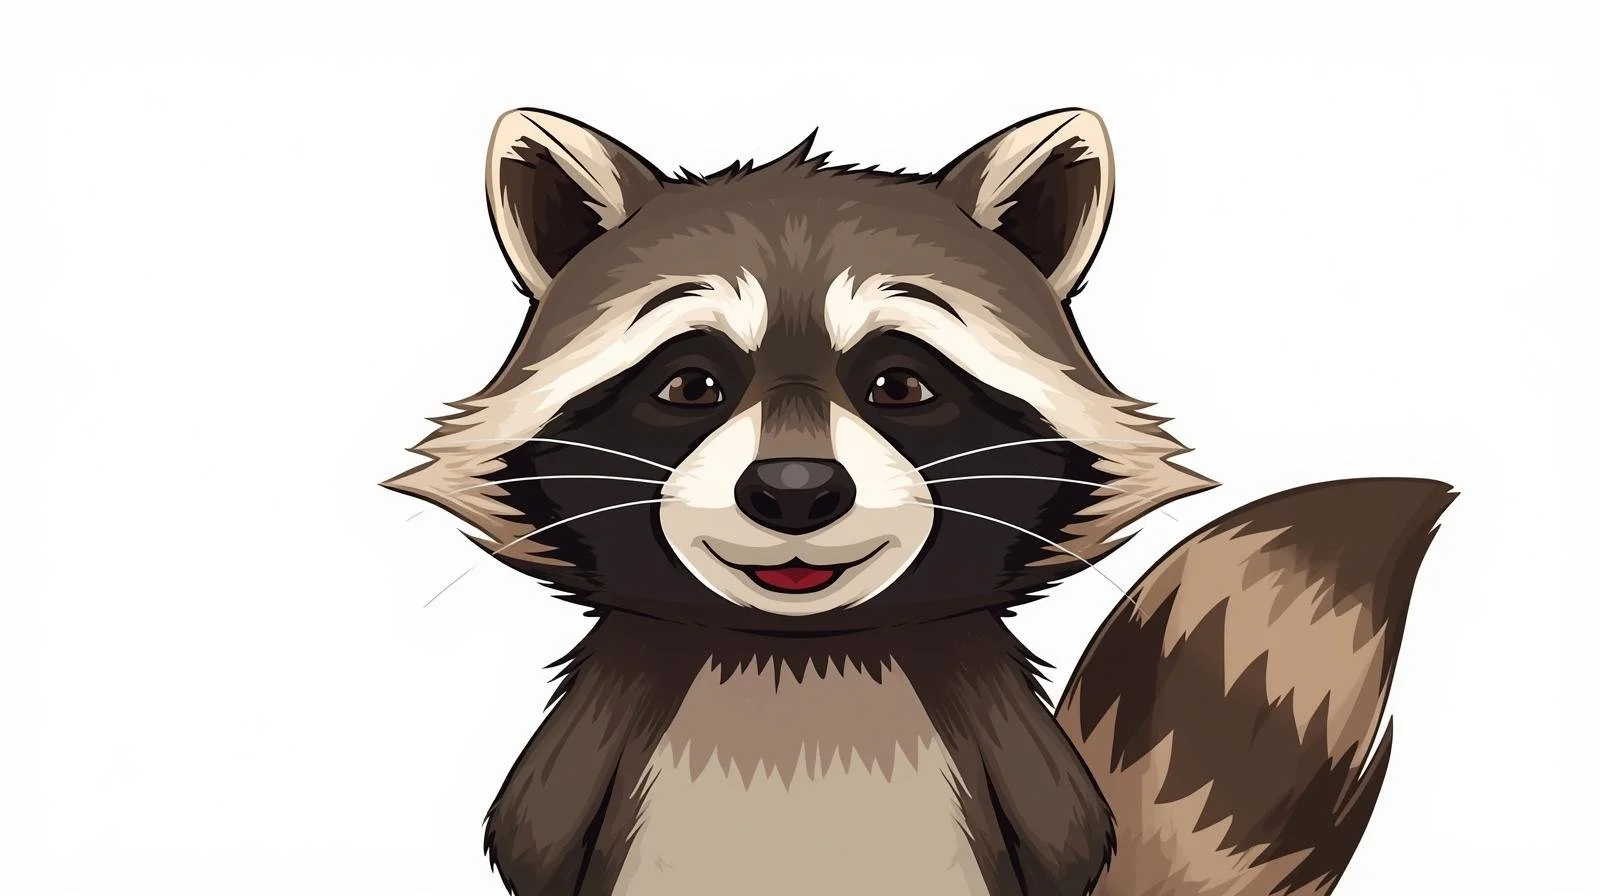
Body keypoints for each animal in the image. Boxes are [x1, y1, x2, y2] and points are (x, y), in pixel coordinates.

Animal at [386, 107, 1453, 896]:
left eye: (898, 384)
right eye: (692, 384)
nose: (794, 490)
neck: (796, 656)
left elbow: (1071, 837)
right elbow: (531, 835)